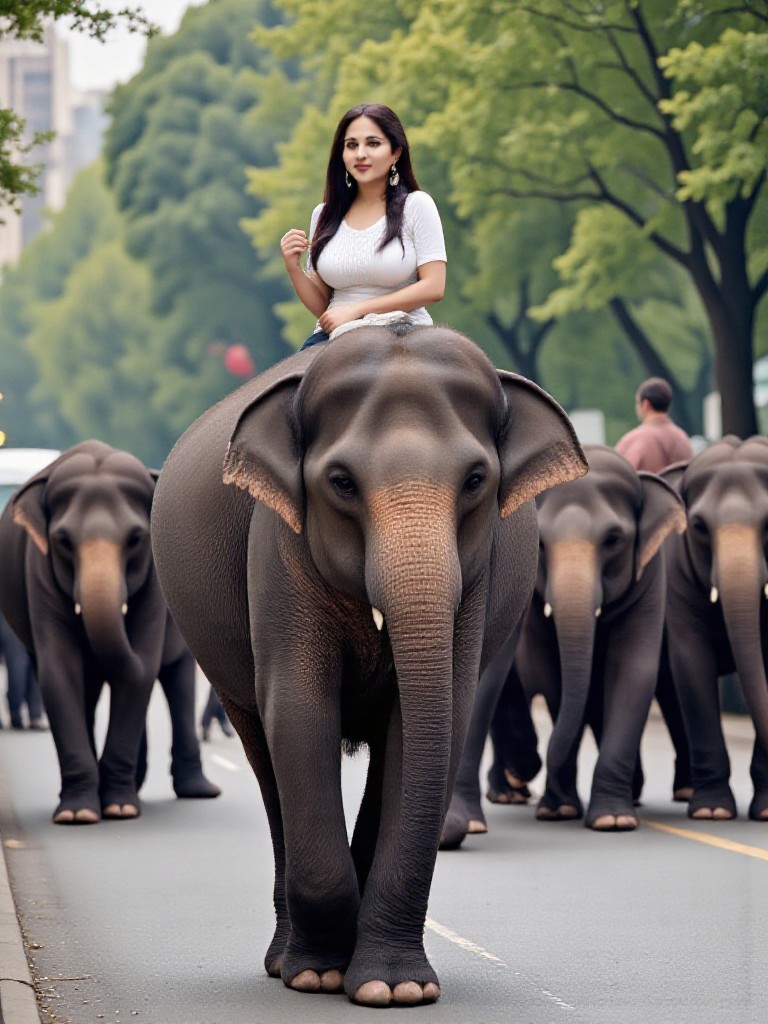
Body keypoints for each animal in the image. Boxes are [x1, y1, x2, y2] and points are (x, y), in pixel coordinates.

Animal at [0, 440, 220, 824]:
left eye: (136, 539)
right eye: (63, 541)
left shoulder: (154, 584)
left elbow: (140, 672)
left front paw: (119, 809)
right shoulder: (37, 570)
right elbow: (59, 671)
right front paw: (77, 815)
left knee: (175, 679)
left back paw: (197, 792)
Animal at [150, 326, 587, 1007]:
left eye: (476, 479)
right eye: (342, 482)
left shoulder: (478, 575)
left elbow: (427, 722)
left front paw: (395, 988)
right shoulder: (276, 545)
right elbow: (299, 712)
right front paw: (319, 975)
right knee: (266, 760)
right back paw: (286, 960)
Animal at [511, 445, 686, 830]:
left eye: (613, 540)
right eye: (541, 545)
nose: (532, 772)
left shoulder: (649, 576)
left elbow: (633, 669)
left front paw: (612, 821)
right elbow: (551, 674)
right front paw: (558, 811)